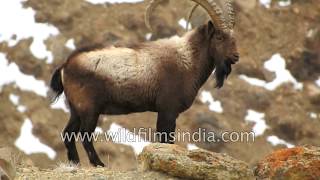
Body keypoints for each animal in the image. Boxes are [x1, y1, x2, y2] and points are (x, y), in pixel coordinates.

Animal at [50, 0, 239, 167]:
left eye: (233, 37)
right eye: (219, 37)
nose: (235, 56)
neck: (188, 59)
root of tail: (66, 64)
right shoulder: (167, 110)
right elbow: (165, 138)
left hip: (76, 109)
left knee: (68, 134)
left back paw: (75, 163)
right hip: (90, 109)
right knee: (84, 135)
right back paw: (99, 164)